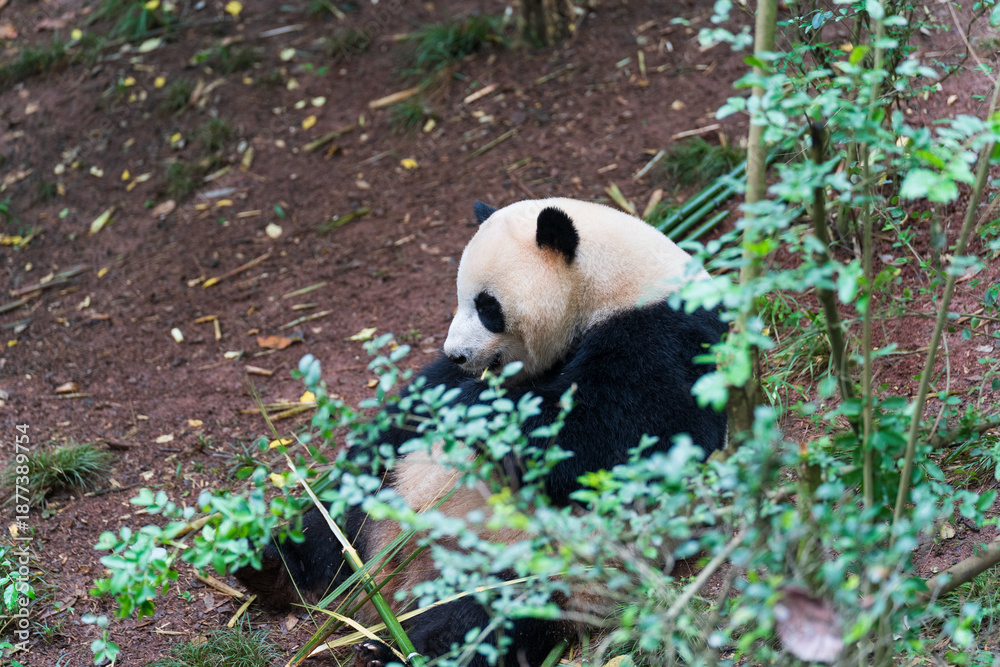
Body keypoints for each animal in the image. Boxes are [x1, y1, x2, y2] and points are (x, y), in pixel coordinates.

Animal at [235, 198, 727, 666]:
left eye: (487, 306)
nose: (456, 353)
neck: (615, 284)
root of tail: (405, 580)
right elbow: (405, 417)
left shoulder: (666, 341)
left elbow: (601, 440)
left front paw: (477, 412)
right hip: (384, 500)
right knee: (335, 520)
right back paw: (270, 566)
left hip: (546, 564)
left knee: (487, 618)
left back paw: (393, 653)